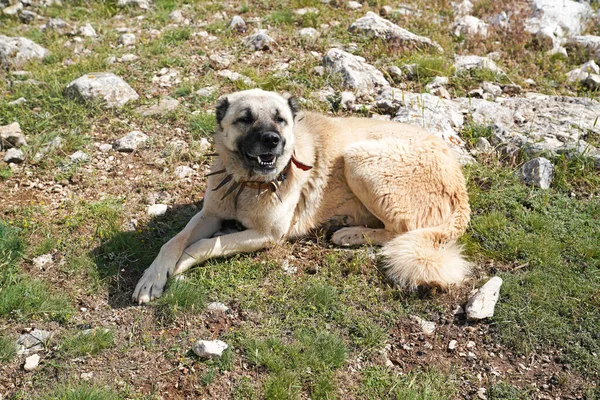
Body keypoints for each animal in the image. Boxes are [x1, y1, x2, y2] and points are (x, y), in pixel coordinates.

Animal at [134, 88, 472, 304]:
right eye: (245, 118)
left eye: (280, 119)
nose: (272, 140)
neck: (247, 184)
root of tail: (461, 188)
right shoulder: (210, 214)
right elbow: (173, 241)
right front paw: (153, 276)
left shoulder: (268, 235)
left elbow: (203, 245)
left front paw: (180, 264)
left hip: (359, 157)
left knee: (401, 230)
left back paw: (350, 233)